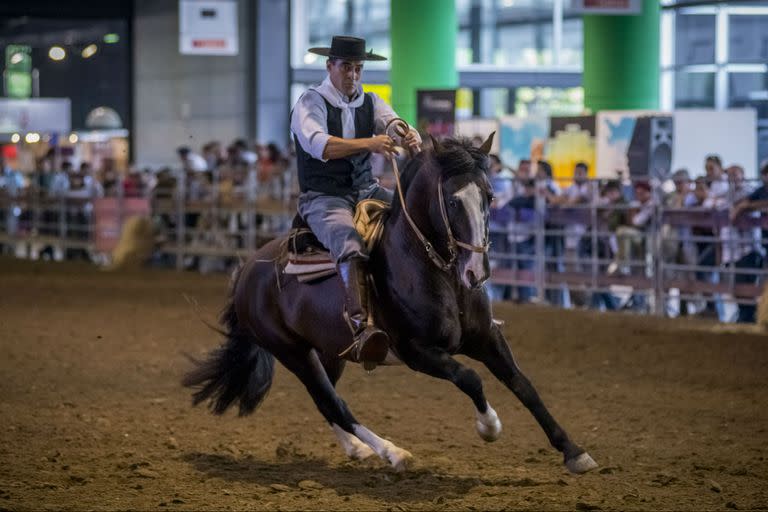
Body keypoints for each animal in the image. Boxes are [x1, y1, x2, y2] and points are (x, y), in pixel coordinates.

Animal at [183, 134, 596, 474]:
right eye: (452, 200)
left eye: (490, 196)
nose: (477, 271)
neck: (440, 274)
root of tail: (247, 271)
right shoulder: (418, 352)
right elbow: (470, 378)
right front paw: (489, 426)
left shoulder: (486, 339)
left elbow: (523, 385)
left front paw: (574, 452)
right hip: (292, 352)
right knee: (332, 402)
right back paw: (391, 453)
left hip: (329, 352)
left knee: (326, 400)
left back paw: (358, 449)